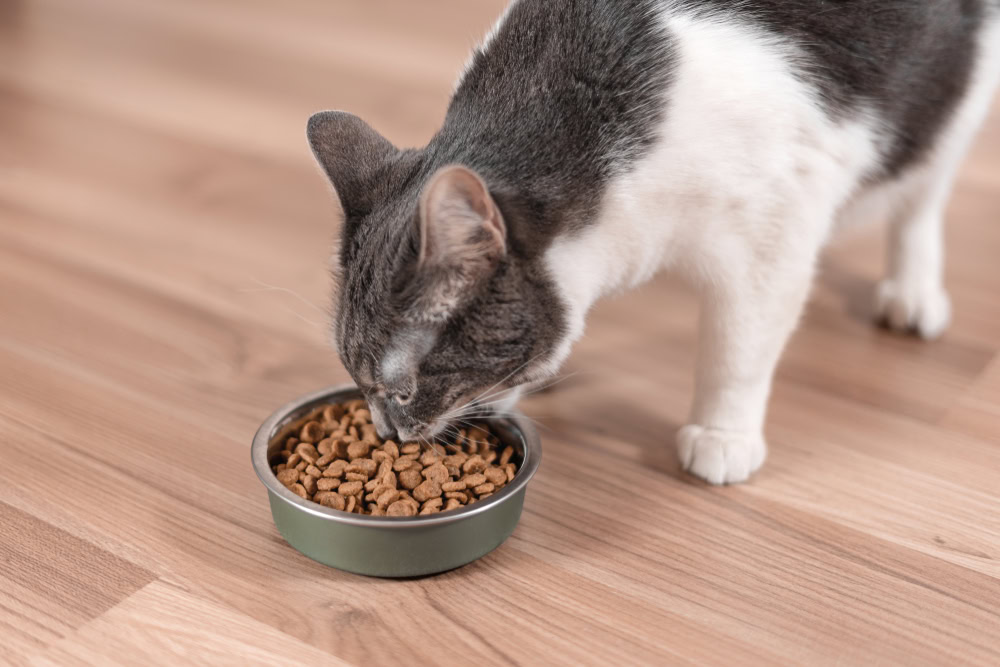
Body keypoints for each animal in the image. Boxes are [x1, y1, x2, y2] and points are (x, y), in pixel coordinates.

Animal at [306, 0, 1000, 486]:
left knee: (922, 195)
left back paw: (912, 293)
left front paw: (723, 436)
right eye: (355, 379)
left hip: (951, 99)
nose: (386, 433)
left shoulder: (774, 227)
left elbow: (739, 347)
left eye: (400, 391)